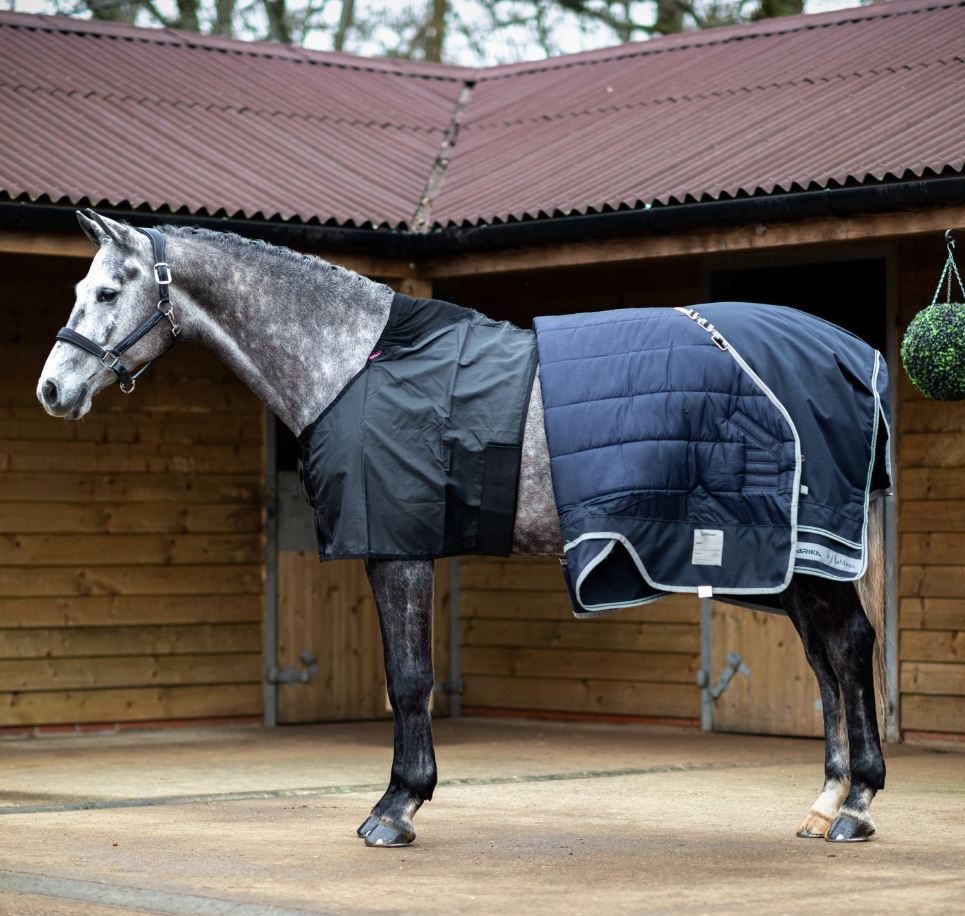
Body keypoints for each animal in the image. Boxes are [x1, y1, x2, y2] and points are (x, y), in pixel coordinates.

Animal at [36, 210, 887, 848]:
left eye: (106, 292)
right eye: (77, 288)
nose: (52, 389)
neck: (357, 362)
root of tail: (851, 353)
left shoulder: (398, 548)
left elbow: (408, 678)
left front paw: (395, 809)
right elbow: (406, 677)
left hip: (802, 554)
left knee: (848, 647)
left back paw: (855, 805)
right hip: (786, 563)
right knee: (823, 658)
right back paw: (824, 803)